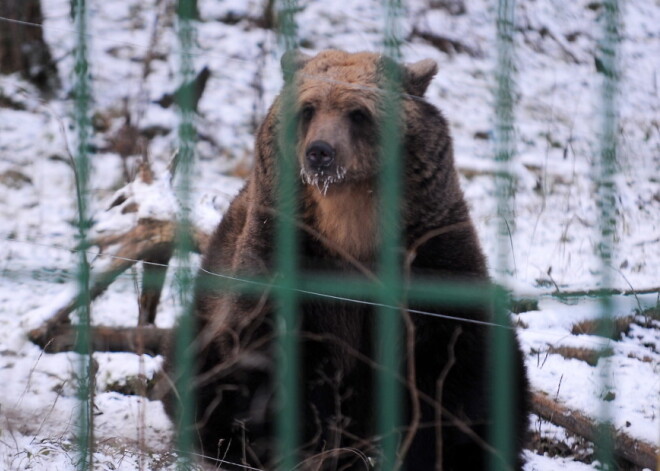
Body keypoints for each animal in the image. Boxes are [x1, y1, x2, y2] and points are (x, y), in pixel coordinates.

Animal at [165, 49, 532, 470]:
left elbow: (455, 363)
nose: (320, 151)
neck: (349, 222)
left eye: (358, 113)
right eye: (308, 109)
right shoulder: (287, 257)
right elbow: (279, 358)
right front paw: (309, 446)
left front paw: (443, 449)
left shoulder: (429, 253)